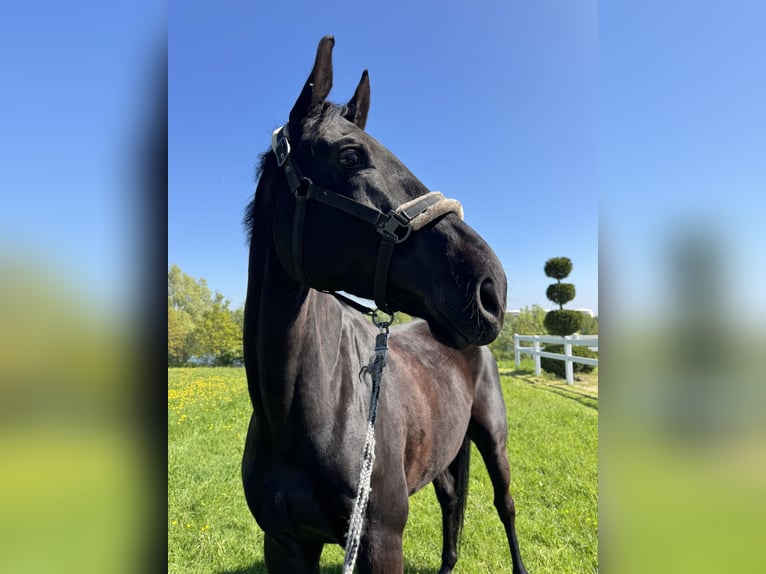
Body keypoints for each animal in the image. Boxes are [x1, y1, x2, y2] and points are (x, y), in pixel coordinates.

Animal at [242, 35, 528, 574]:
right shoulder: (285, 544)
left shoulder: (380, 541)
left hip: (493, 438)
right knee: (451, 500)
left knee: (505, 505)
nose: (491, 288)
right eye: (351, 155)